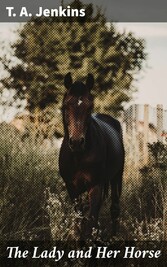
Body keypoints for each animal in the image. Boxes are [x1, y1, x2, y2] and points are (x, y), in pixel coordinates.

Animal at [58, 73, 124, 237]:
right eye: (65, 106)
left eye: (89, 107)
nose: (76, 142)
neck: (79, 156)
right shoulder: (72, 188)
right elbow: (79, 221)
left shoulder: (95, 186)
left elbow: (91, 222)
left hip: (116, 178)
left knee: (114, 208)